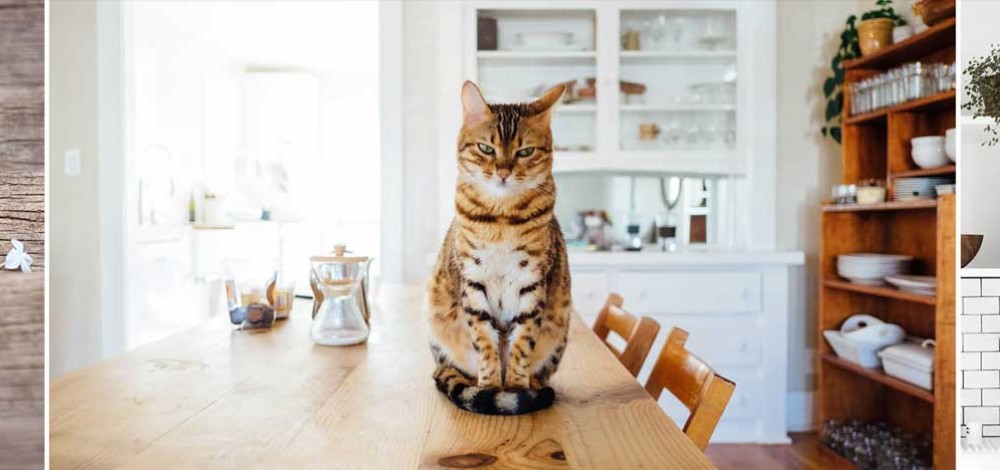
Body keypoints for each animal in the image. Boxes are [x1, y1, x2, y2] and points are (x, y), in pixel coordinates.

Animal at [426, 81, 576, 414]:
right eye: (486, 148)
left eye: (525, 151)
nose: (503, 171)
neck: (502, 218)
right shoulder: (473, 282)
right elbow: (484, 343)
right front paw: (491, 387)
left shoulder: (532, 284)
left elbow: (522, 345)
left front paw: (517, 388)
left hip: (559, 328)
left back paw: (533, 386)